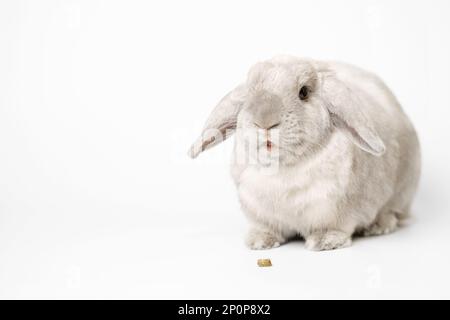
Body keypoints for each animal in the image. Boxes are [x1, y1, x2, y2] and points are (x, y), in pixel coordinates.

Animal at [188, 54, 420, 250]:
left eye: (304, 92)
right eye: (250, 94)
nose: (264, 121)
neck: (283, 168)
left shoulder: (339, 211)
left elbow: (336, 227)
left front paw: (324, 241)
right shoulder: (259, 213)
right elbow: (265, 227)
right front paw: (259, 241)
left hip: (401, 192)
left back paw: (378, 226)